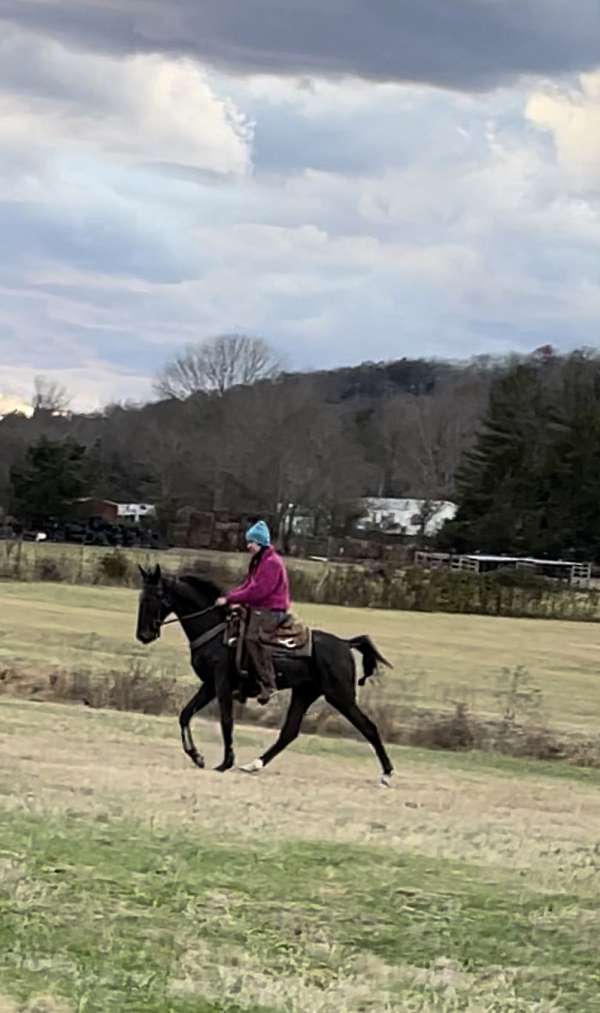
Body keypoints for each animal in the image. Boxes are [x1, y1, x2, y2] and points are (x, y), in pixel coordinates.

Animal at [135, 567, 393, 786]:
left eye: (154, 597)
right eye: (141, 597)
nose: (143, 635)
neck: (217, 631)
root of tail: (344, 644)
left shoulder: (221, 684)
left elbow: (226, 721)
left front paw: (225, 762)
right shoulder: (209, 685)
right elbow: (185, 714)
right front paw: (196, 756)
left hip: (340, 696)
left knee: (369, 727)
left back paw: (387, 774)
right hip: (305, 693)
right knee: (289, 732)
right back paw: (254, 764)